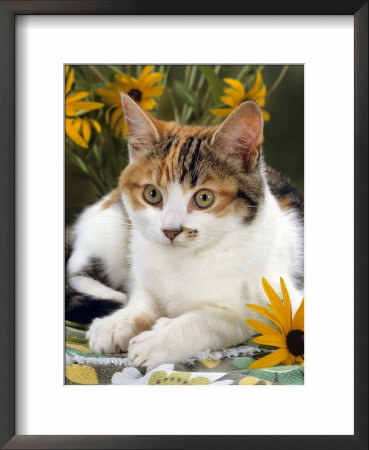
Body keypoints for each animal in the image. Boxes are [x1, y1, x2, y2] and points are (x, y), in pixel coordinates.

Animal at [65, 94, 302, 366]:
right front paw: (119, 322)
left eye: (204, 198)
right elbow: (144, 296)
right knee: (75, 268)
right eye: (152, 194)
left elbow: (222, 318)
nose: (170, 230)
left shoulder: (279, 297)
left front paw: (160, 338)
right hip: (113, 223)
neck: (185, 258)